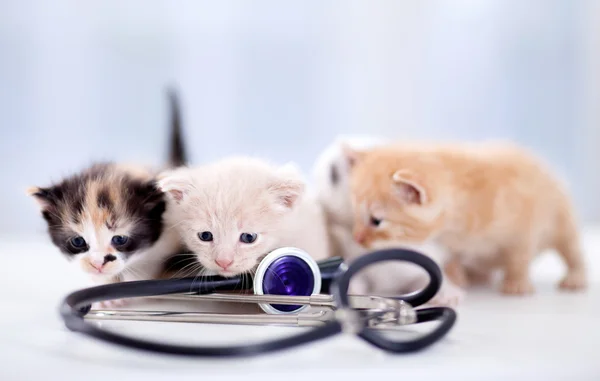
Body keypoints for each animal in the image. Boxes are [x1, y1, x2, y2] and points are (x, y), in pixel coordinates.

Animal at [342, 140, 584, 294]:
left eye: (376, 221)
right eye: (355, 215)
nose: (356, 238)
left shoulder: (524, 225)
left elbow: (519, 256)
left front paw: (516, 282)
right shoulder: (451, 243)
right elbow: (453, 259)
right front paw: (456, 277)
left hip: (562, 218)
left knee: (571, 249)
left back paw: (576, 277)